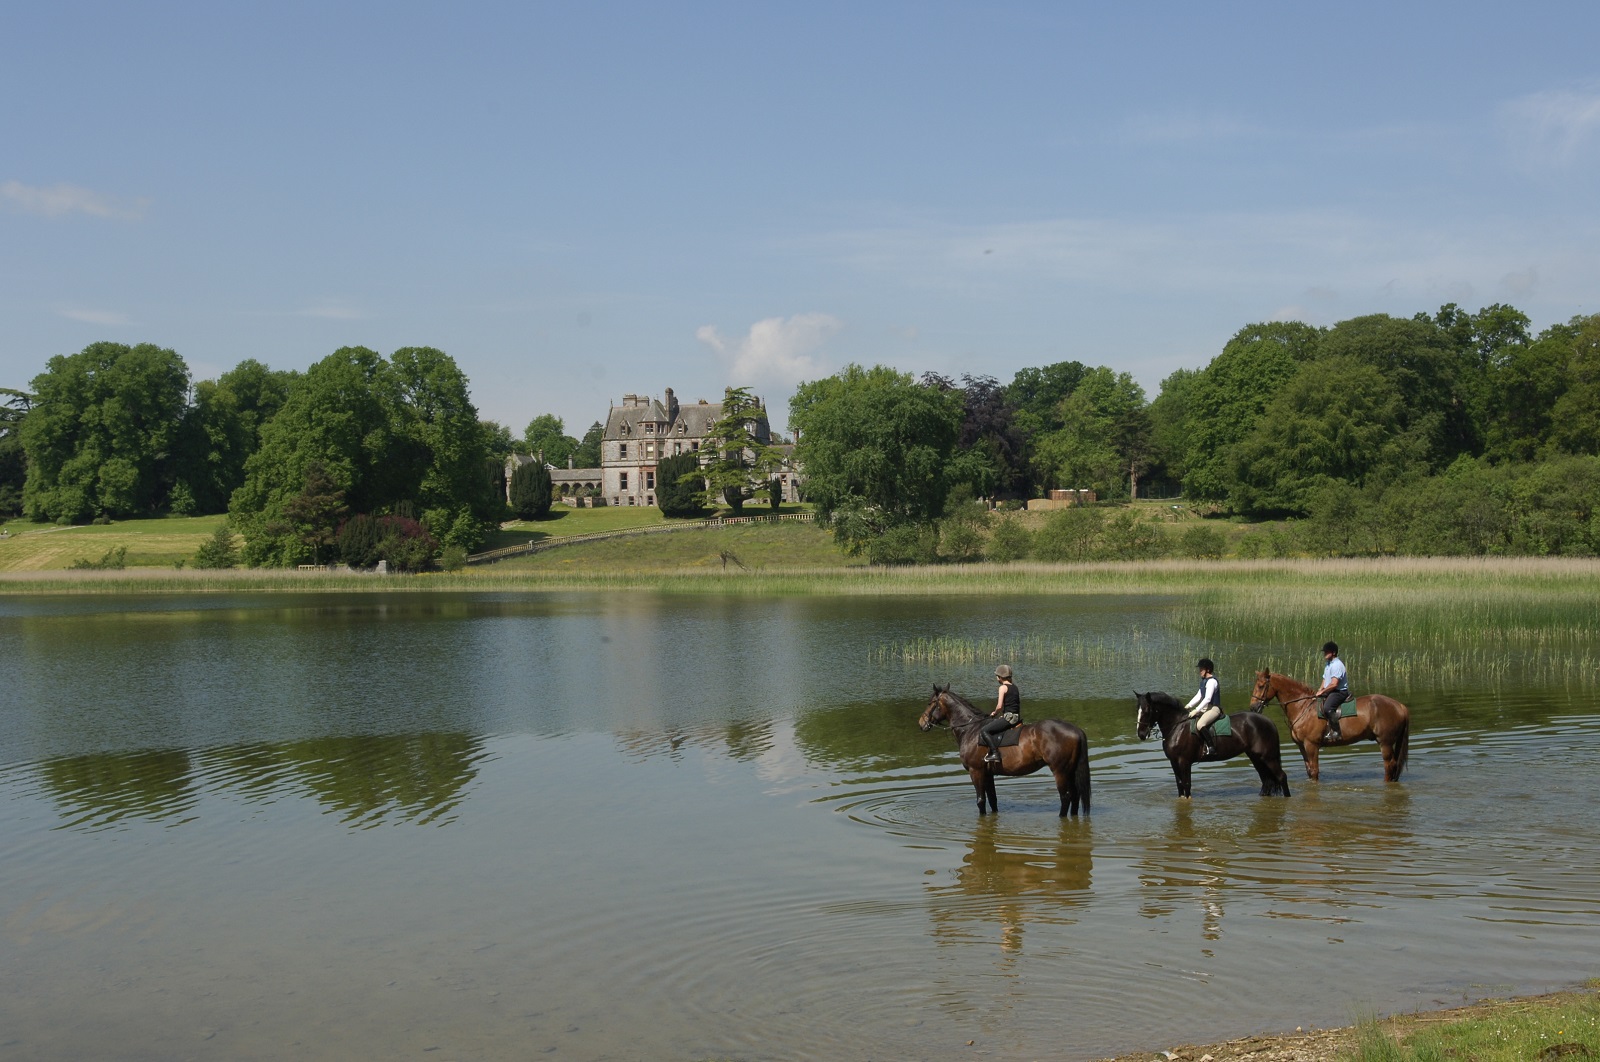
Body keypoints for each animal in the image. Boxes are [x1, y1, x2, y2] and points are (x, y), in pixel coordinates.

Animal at [921, 684, 1094, 815]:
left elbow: (981, 801)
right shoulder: (987, 773)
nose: (921, 723)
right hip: (1070, 770)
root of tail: (1075, 729)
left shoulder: (976, 771)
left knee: (1066, 797)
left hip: (1060, 771)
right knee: (1075, 796)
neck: (970, 729)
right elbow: (992, 799)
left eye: (930, 703)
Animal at [1132, 687, 1292, 796]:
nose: (1141, 734)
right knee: (1266, 780)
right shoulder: (1174, 762)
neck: (1177, 726)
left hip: (1268, 757)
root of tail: (1267, 720)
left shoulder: (1184, 762)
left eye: (1147, 710)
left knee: (1281, 776)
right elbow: (1180, 785)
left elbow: (1187, 785)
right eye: (1137, 709)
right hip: (1256, 757)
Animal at [1248, 668, 1414, 783]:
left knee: (1389, 765)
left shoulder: (1311, 745)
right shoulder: (1302, 746)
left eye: (1261, 686)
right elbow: (1309, 770)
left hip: (1385, 742)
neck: (1303, 706)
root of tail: (1399, 706)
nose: (1253, 708)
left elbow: (1315, 771)